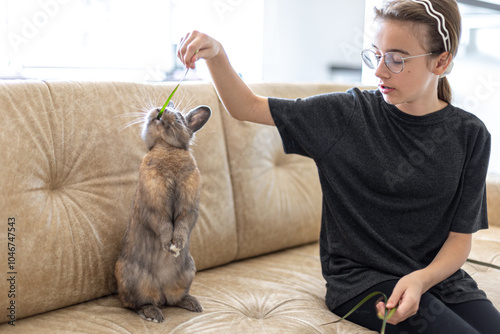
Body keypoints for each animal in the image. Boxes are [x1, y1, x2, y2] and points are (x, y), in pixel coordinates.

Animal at [114, 102, 210, 324]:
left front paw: (177, 245)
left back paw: (193, 304)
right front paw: (169, 245)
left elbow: (182, 223)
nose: (160, 109)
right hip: (132, 279)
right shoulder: (155, 204)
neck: (167, 148)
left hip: (187, 273)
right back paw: (153, 314)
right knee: (135, 304)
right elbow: (163, 223)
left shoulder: (188, 204)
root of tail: (161, 291)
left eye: (179, 117)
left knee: (174, 299)